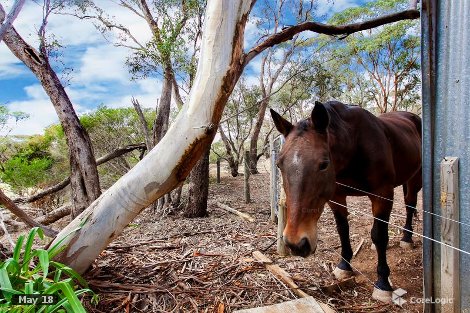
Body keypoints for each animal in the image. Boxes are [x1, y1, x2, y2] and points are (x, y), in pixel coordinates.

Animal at [272, 101, 422, 302]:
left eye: (324, 164)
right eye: (279, 164)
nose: (296, 244)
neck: (354, 144)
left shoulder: (382, 195)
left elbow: (379, 235)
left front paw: (383, 283)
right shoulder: (336, 197)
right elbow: (343, 230)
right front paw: (344, 265)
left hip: (414, 179)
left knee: (409, 205)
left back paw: (407, 237)